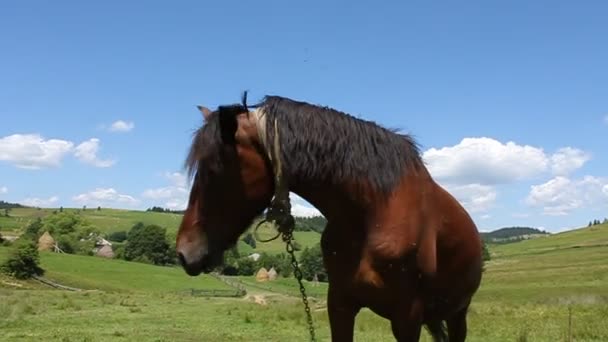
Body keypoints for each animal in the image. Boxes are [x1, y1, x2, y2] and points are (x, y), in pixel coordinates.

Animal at [176, 92, 484, 340]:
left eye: (213, 169)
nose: (183, 252)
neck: (371, 215)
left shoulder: (407, 318)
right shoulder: (340, 306)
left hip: (458, 313)